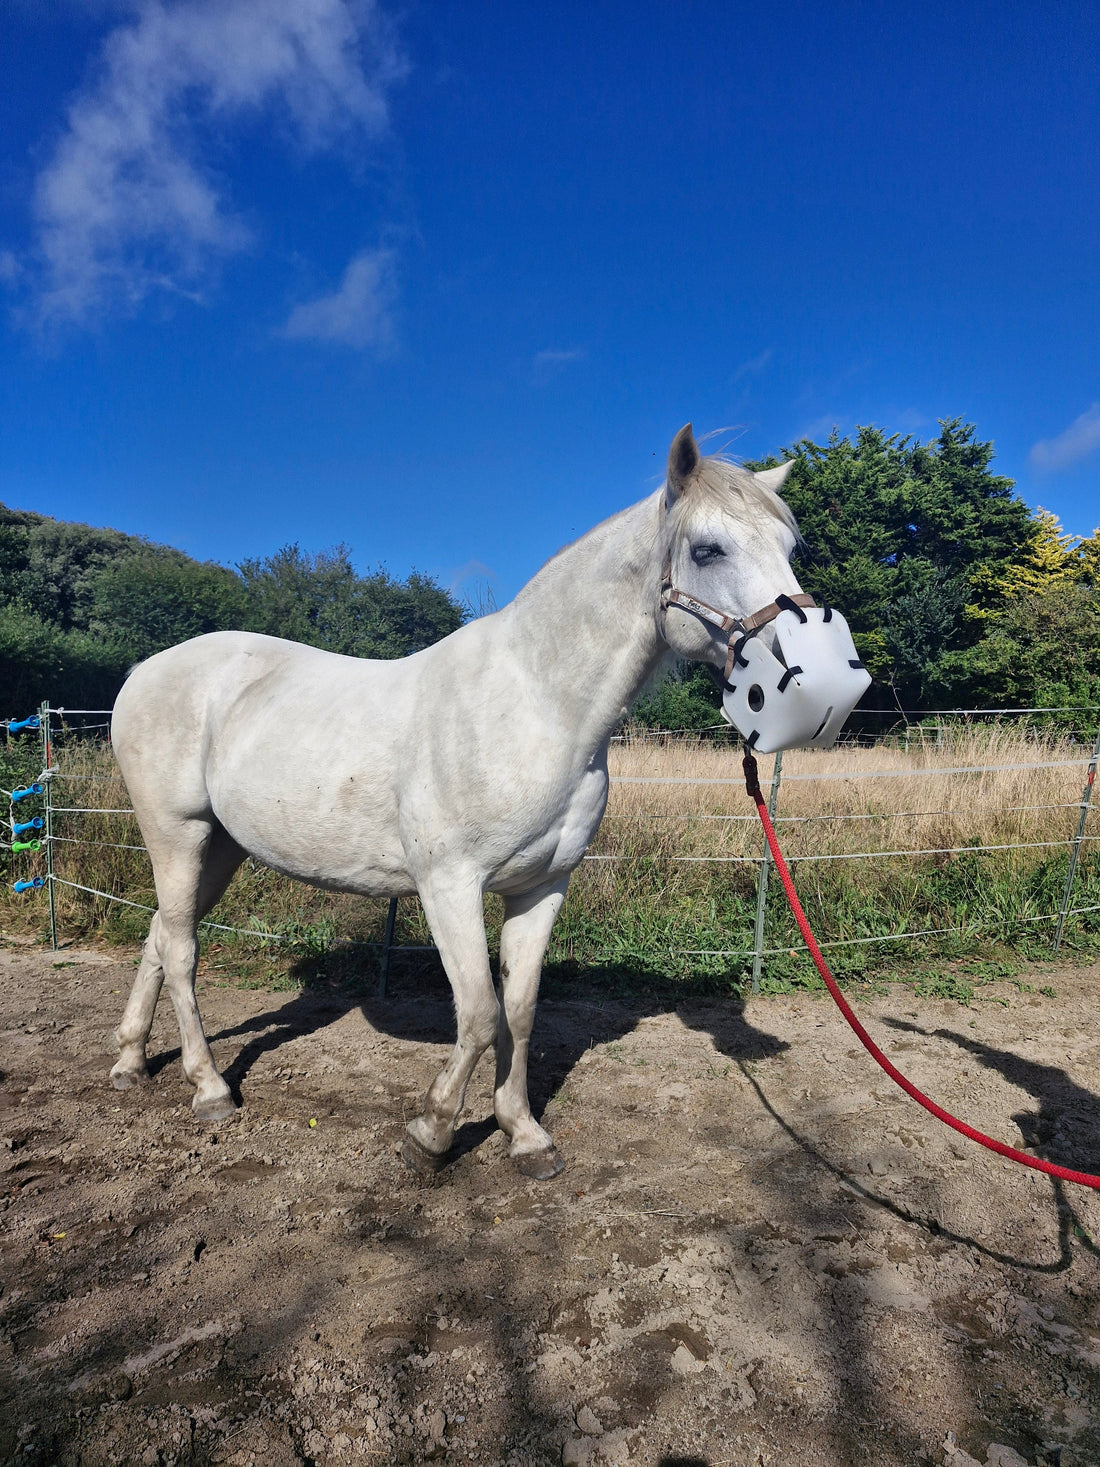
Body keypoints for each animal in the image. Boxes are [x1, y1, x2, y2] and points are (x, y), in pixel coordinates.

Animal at [109, 424, 803, 1180]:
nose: (804, 669)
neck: (537, 703)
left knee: (159, 933)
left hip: (221, 846)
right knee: (181, 949)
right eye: (708, 548)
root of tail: (146, 670)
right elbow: (476, 1012)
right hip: (176, 833)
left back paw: (130, 1062)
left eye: (789, 546)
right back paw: (209, 1088)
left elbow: (519, 1011)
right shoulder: (449, 885)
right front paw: (432, 1131)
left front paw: (525, 1134)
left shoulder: (542, 886)